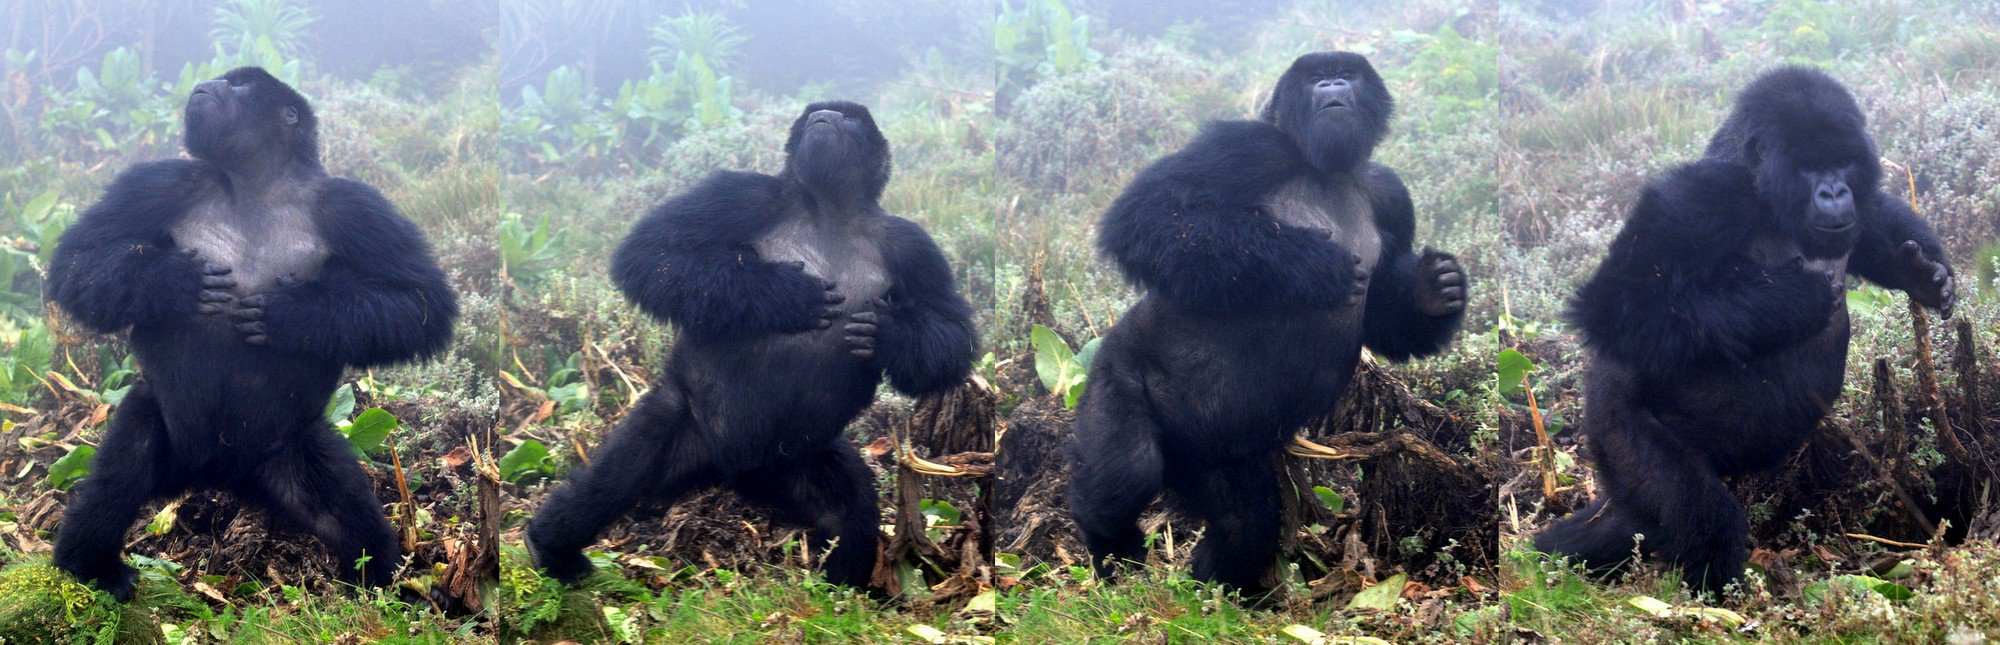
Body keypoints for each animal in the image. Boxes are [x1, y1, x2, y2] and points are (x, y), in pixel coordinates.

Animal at [46, 66, 458, 600]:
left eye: (241, 84)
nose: (210, 82)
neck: (255, 183)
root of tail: (219, 478)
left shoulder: (354, 205)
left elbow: (422, 302)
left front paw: (296, 315)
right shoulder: (159, 181)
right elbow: (79, 260)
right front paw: (171, 282)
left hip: (290, 445)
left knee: (342, 508)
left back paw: (382, 580)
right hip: (165, 432)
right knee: (120, 477)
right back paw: (90, 564)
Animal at [524, 100, 976, 588]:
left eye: (850, 117)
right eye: (816, 111)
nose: (824, 116)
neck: (830, 211)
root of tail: (729, 468)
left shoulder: (912, 245)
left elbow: (949, 331)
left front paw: (889, 336)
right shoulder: (743, 193)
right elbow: (653, 253)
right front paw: (784, 295)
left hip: (798, 457)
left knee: (849, 514)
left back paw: (842, 588)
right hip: (686, 425)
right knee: (616, 477)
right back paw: (551, 545)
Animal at [1072, 51, 1480, 592]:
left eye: (1347, 74)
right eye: (1314, 77)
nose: (1331, 84)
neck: (1327, 168)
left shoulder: (1390, 193)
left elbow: (1385, 316)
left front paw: (1432, 293)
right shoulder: (1245, 146)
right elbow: (1152, 215)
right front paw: (1310, 263)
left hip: (1213, 454)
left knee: (1243, 520)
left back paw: (1214, 590)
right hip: (1117, 365)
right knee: (1124, 475)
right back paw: (1112, 551)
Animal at [1528, 66, 1952, 592]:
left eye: (1842, 161)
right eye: (1808, 167)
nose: (1834, 192)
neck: (1766, 197)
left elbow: (1874, 219)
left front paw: (1921, 273)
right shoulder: (1701, 198)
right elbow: (1618, 301)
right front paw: (1791, 300)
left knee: (1636, 519)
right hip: (1612, 429)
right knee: (1698, 509)